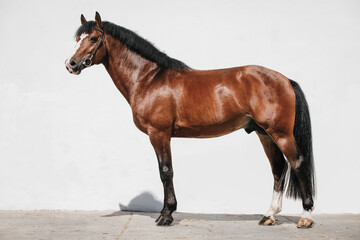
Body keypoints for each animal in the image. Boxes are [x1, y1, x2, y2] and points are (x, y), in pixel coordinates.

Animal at [66, 11, 316, 229]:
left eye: (94, 38)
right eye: (78, 39)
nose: (71, 64)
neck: (149, 78)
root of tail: (285, 79)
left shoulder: (159, 134)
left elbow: (166, 171)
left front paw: (166, 215)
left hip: (280, 133)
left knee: (298, 164)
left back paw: (306, 217)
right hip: (264, 133)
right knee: (278, 168)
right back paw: (269, 215)